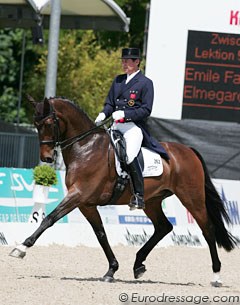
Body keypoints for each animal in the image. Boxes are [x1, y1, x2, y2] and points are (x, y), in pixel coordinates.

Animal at [9, 95, 236, 284]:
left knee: (207, 229)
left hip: (192, 197)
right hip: (152, 201)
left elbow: (49, 218)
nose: (46, 158)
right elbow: (100, 234)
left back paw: (216, 275)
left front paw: (21, 247)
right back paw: (138, 265)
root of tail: (188, 150)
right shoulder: (85, 204)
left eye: (48, 123)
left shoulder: (78, 195)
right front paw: (111, 270)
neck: (85, 147)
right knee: (163, 227)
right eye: (35, 124)